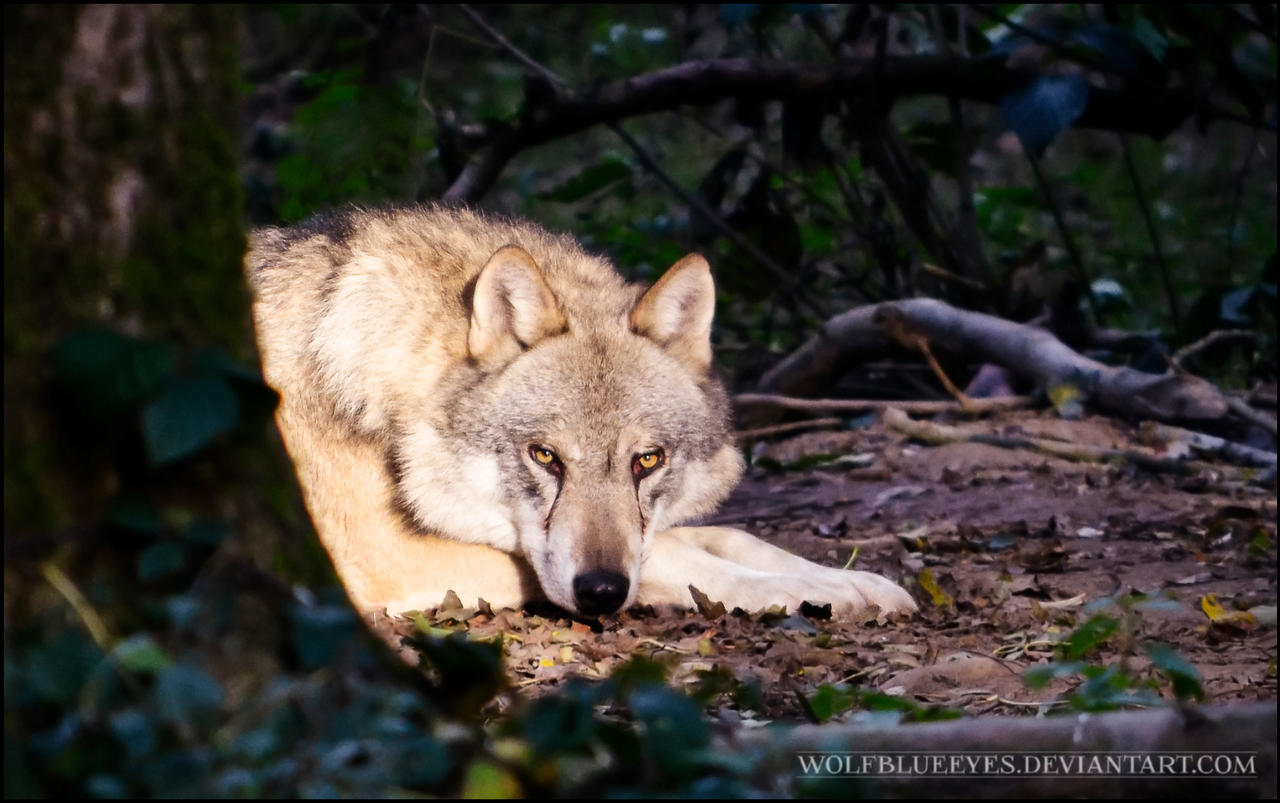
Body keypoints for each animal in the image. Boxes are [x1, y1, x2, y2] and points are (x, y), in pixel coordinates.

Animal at [244, 203, 916, 619]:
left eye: (648, 460)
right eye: (545, 456)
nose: (600, 591)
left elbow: (722, 533)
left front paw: (855, 579)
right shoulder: (384, 562)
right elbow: (673, 555)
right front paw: (816, 589)